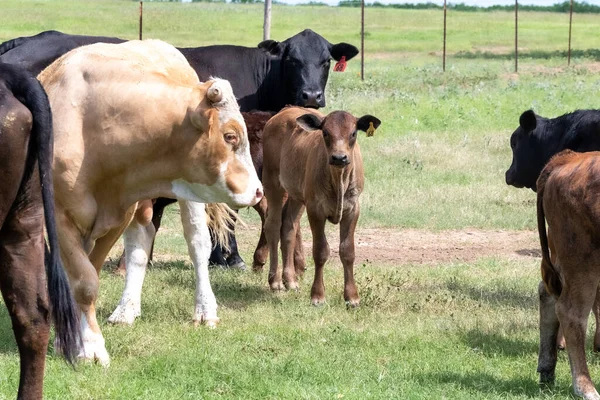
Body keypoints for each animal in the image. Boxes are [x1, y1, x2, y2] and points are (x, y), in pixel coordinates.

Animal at [262, 106, 380, 306]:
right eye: (325, 133)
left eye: (353, 133)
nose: (339, 157)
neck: (338, 179)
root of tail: (285, 110)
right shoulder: (315, 210)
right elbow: (320, 251)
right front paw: (318, 295)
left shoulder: (352, 209)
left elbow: (347, 251)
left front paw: (352, 297)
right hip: (273, 183)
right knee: (273, 225)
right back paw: (275, 281)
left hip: (297, 195)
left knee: (289, 227)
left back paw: (290, 280)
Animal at [536, 149, 600, 400]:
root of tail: (569, 158)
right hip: (582, 260)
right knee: (571, 312)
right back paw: (586, 387)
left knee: (546, 293)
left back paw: (546, 370)